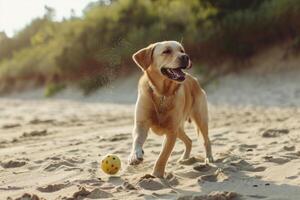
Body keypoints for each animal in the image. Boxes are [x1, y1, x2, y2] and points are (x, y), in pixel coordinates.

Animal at [127, 41, 212, 178]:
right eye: (166, 51)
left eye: (182, 50)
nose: (186, 57)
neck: (162, 94)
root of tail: (194, 79)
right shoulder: (141, 123)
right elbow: (137, 140)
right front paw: (134, 156)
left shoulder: (171, 131)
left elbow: (163, 155)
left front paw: (157, 174)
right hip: (179, 128)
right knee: (189, 141)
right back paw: (185, 158)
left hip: (200, 119)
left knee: (206, 140)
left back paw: (209, 157)